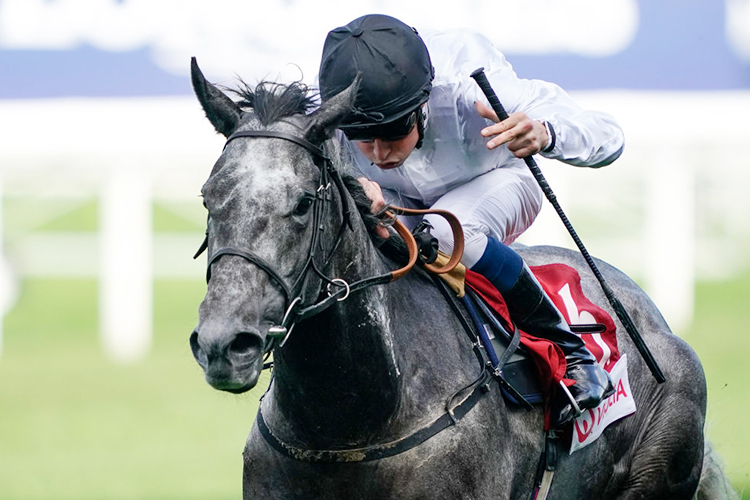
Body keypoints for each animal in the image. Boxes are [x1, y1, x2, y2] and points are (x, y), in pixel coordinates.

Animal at [188, 59, 736, 500]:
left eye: (303, 202)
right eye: (207, 196)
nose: (223, 344)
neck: (351, 426)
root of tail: (652, 315)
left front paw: (530, 130)